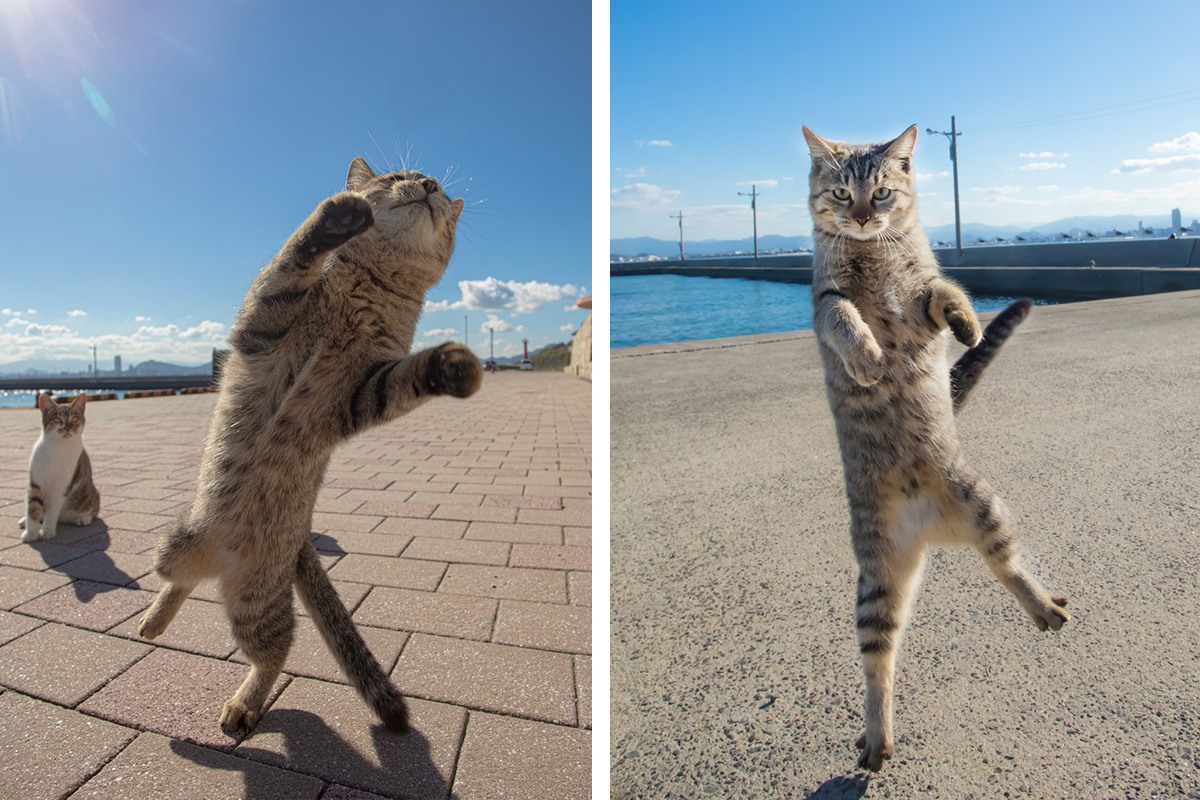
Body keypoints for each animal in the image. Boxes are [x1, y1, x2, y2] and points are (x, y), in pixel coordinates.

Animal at [21, 393, 100, 544]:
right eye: (57, 419)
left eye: (74, 418)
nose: (67, 428)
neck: (58, 447)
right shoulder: (35, 482)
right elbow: (32, 506)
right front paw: (31, 533)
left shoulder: (62, 486)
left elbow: (52, 511)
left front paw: (47, 531)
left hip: (90, 492)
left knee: (93, 508)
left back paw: (83, 517)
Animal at [137, 159, 482, 734]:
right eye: (398, 176)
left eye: (437, 187)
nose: (430, 185)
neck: (370, 288)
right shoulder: (265, 317)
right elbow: (293, 256)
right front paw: (338, 216)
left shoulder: (363, 391)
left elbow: (408, 377)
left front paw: (452, 365)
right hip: (177, 544)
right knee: (178, 582)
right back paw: (155, 624)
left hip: (255, 601)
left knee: (271, 651)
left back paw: (240, 700)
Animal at [801, 126, 1075, 777]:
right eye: (841, 192)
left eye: (881, 192)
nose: (861, 216)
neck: (875, 253)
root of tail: (929, 527)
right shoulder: (823, 299)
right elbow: (844, 317)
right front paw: (869, 359)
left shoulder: (924, 290)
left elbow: (947, 287)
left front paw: (969, 326)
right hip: (877, 578)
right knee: (879, 662)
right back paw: (877, 737)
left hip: (984, 504)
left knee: (1007, 564)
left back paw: (1043, 607)